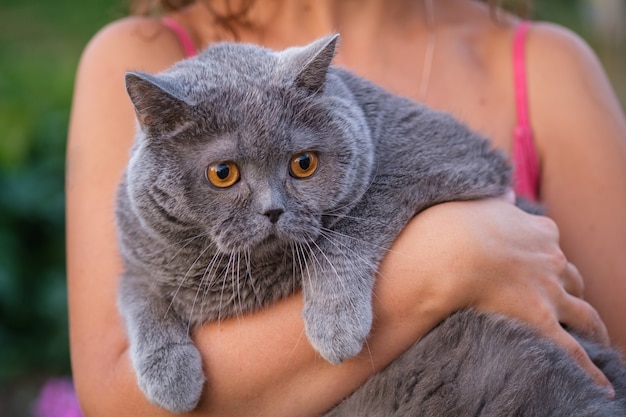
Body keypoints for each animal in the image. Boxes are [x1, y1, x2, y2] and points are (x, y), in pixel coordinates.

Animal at [114, 35, 620, 412]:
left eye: (303, 164)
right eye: (223, 173)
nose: (273, 210)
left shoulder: (442, 160)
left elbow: (354, 221)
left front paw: (335, 327)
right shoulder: (138, 251)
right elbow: (138, 297)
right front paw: (171, 380)